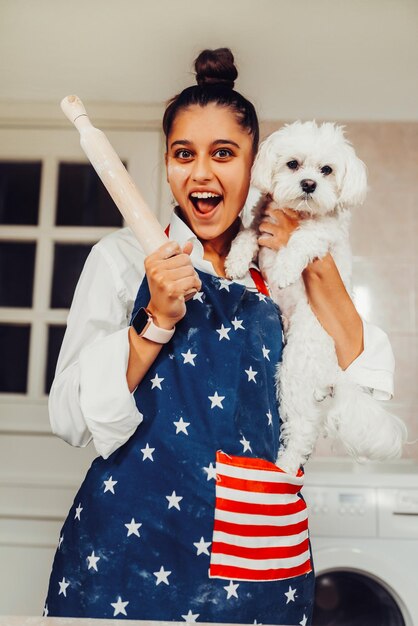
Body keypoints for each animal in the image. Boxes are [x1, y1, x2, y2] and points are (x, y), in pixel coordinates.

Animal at [227, 120, 406, 472]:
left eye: (327, 170)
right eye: (293, 164)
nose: (309, 184)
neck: (299, 213)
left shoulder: (325, 234)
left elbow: (304, 238)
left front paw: (285, 267)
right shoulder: (260, 223)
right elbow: (246, 235)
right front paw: (236, 260)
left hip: (295, 366)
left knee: (302, 429)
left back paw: (285, 465)